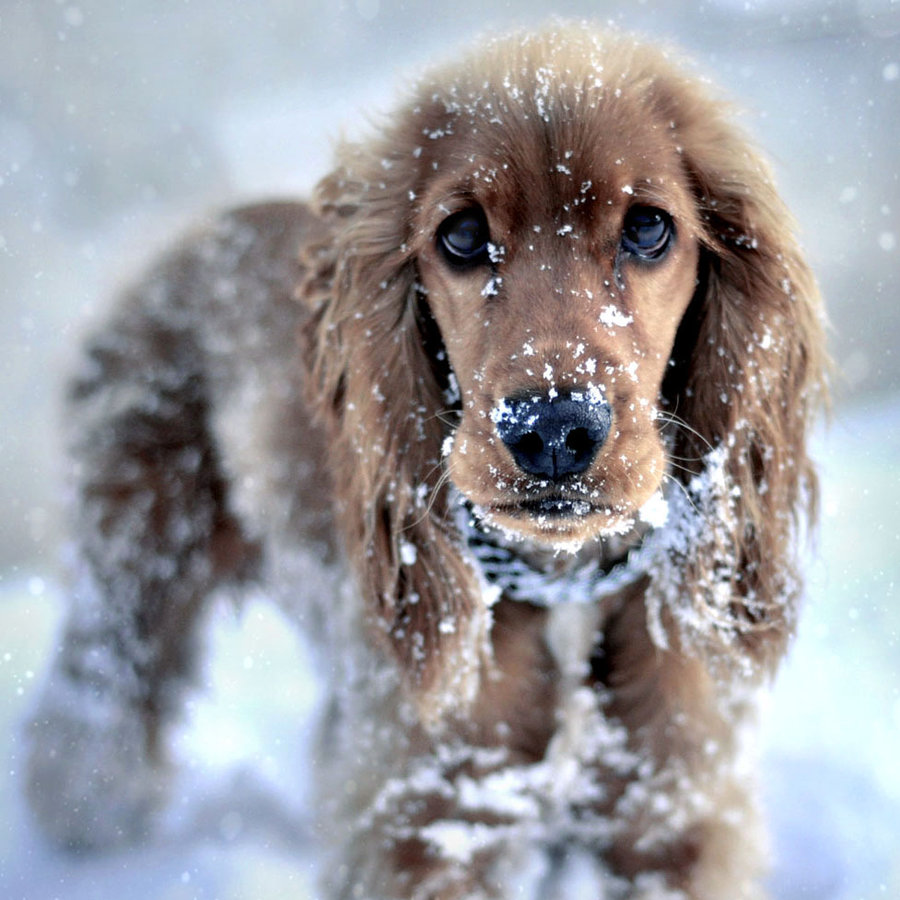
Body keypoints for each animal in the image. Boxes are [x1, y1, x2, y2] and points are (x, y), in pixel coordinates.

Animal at [26, 22, 828, 900]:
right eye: (462, 236)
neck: (563, 588)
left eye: (649, 228)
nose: (552, 431)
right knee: (96, 713)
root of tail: (199, 230)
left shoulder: (677, 813)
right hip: (136, 556)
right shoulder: (422, 824)